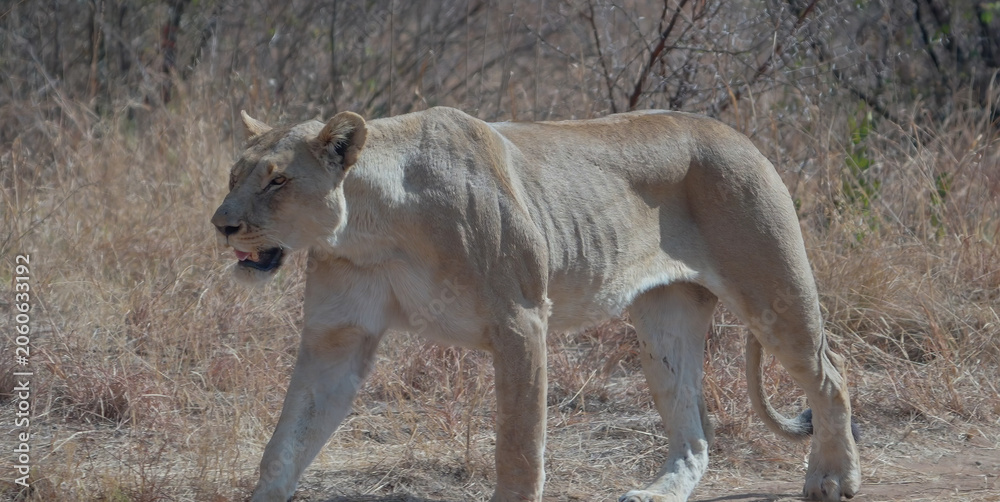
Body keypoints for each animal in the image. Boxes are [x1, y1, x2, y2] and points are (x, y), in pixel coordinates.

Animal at [211, 106, 861, 502]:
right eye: (233, 176)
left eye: (277, 181)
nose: (221, 224)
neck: (372, 227)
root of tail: (739, 135)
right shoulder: (337, 336)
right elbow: (284, 445)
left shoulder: (520, 321)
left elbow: (519, 447)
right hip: (663, 324)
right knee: (695, 434)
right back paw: (658, 491)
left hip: (775, 292)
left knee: (831, 381)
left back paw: (833, 478)